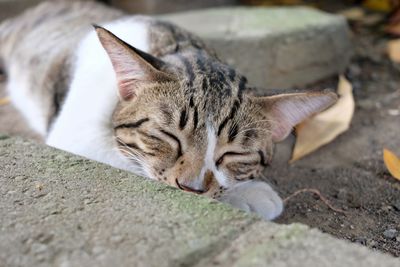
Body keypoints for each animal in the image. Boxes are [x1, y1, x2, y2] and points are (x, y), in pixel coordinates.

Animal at [0, 1, 338, 221]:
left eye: (233, 155)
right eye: (168, 137)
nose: (191, 188)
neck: (176, 44)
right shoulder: (75, 133)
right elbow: (132, 166)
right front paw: (249, 194)